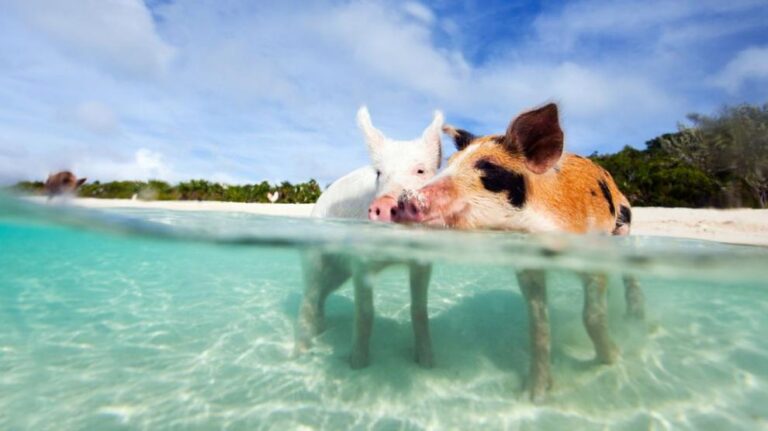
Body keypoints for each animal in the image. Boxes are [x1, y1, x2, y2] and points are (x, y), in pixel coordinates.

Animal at [296, 106, 443, 369]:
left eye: (420, 170)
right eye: (379, 173)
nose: (383, 204)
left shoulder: (422, 262)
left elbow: (419, 310)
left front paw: (428, 363)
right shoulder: (361, 262)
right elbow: (365, 312)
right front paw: (357, 364)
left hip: (339, 273)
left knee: (322, 294)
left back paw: (322, 330)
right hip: (315, 255)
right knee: (309, 297)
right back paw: (300, 353)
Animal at [395, 103, 644, 400]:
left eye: (488, 168)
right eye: (450, 162)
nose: (403, 200)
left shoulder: (593, 254)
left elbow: (592, 316)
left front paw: (611, 360)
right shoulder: (529, 267)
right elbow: (538, 326)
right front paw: (534, 395)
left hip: (624, 225)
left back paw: (635, 319)